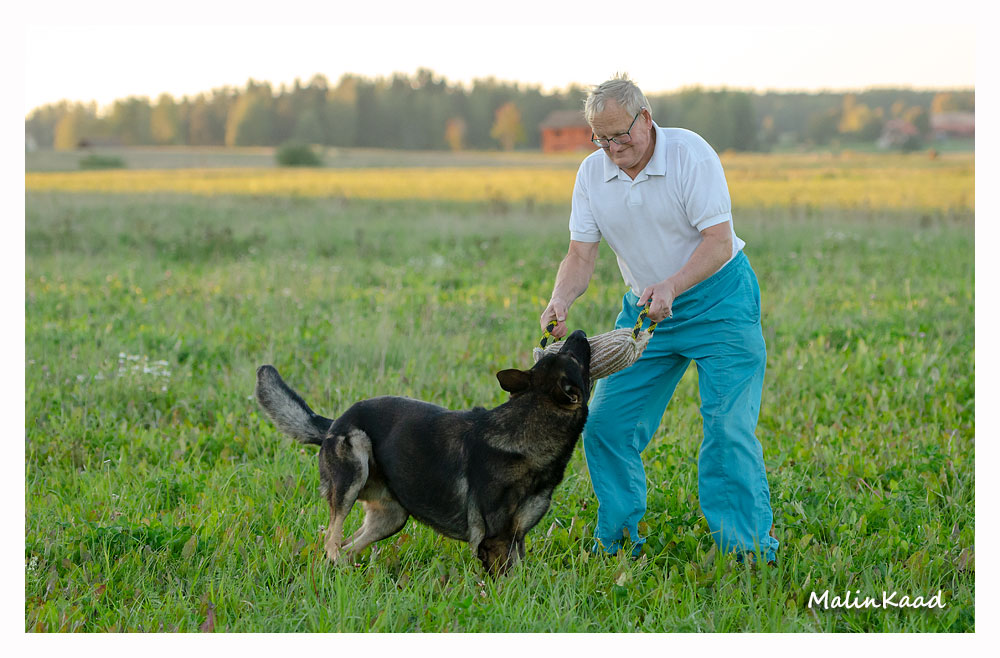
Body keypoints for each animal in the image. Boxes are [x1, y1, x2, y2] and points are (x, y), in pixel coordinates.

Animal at [254, 330, 591, 576]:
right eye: (572, 356)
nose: (578, 331)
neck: (527, 424)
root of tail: (335, 421)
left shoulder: (515, 540)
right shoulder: (495, 543)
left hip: (392, 518)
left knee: (346, 547)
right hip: (354, 464)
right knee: (331, 542)